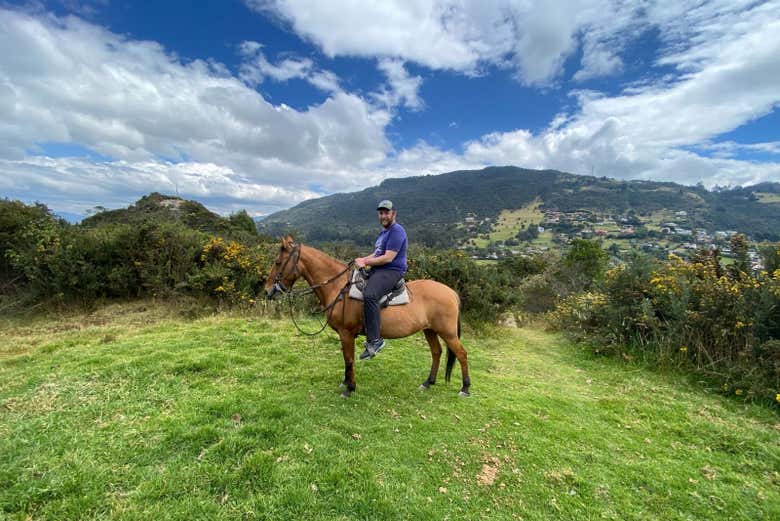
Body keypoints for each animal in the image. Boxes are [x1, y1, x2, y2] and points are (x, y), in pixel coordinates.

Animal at [264, 237, 470, 398]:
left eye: (277, 262)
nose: (267, 291)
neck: (338, 287)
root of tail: (451, 292)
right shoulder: (344, 335)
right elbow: (346, 358)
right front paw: (346, 382)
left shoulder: (346, 333)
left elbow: (349, 359)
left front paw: (350, 388)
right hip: (430, 330)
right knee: (436, 352)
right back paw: (428, 382)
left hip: (448, 332)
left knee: (461, 354)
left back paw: (465, 388)